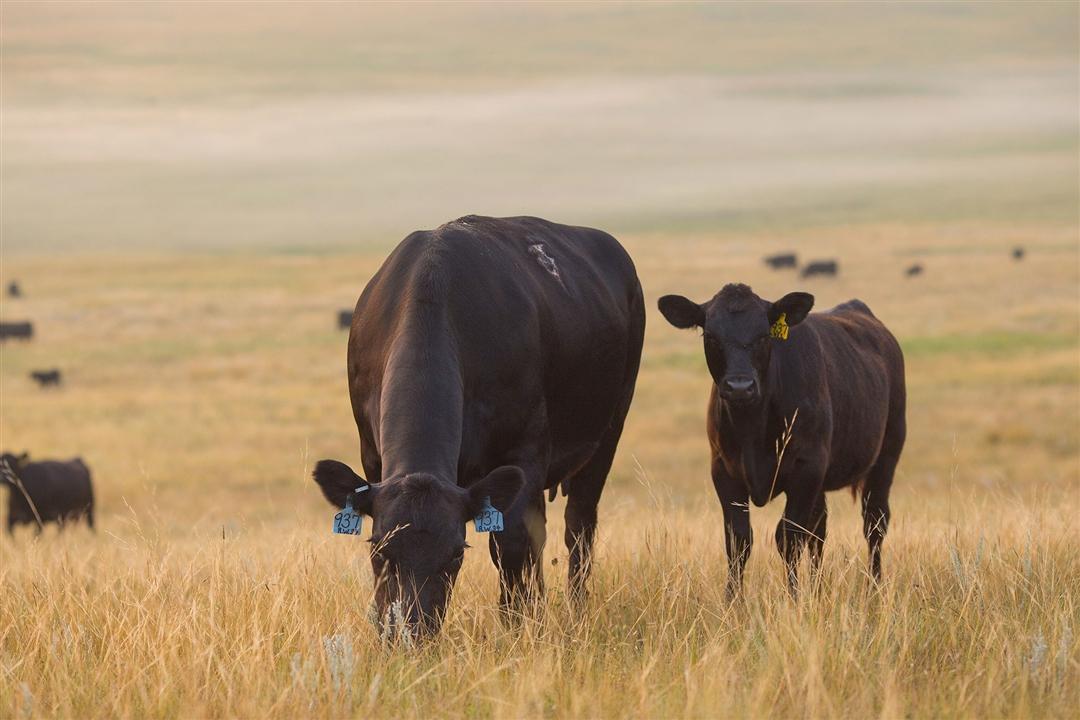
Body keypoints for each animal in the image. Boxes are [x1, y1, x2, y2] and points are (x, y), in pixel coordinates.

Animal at [312, 215, 645, 640]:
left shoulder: (523, 451)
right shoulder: (371, 456)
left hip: (607, 433)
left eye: (456, 554)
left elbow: (512, 546)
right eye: (379, 549)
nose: (412, 632)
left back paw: (575, 611)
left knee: (578, 529)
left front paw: (518, 626)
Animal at [658, 283, 905, 596]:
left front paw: (793, 597)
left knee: (874, 522)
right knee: (819, 529)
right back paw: (818, 588)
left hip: (886, 455)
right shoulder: (724, 470)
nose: (740, 386)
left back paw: (873, 587)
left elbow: (789, 537)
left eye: (764, 335)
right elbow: (738, 540)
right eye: (711, 336)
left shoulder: (806, 468)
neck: (752, 426)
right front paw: (733, 600)